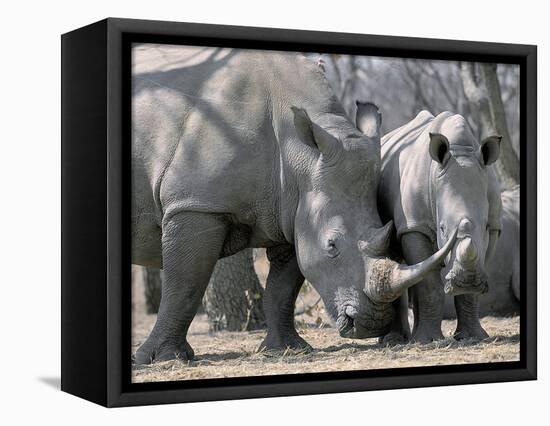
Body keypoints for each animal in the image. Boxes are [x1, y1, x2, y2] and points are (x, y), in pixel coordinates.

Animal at [132, 45, 454, 364]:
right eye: (331, 246)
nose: (371, 324)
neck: (298, 151)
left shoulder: (292, 208)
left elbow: (283, 287)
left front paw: (287, 348)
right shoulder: (195, 204)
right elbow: (185, 284)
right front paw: (162, 358)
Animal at [358, 103, 504, 342]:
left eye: (484, 226)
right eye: (442, 228)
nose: (467, 280)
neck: (461, 151)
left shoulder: (494, 227)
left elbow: (472, 281)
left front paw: (473, 337)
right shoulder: (414, 226)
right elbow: (428, 284)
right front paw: (428, 340)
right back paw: (397, 340)